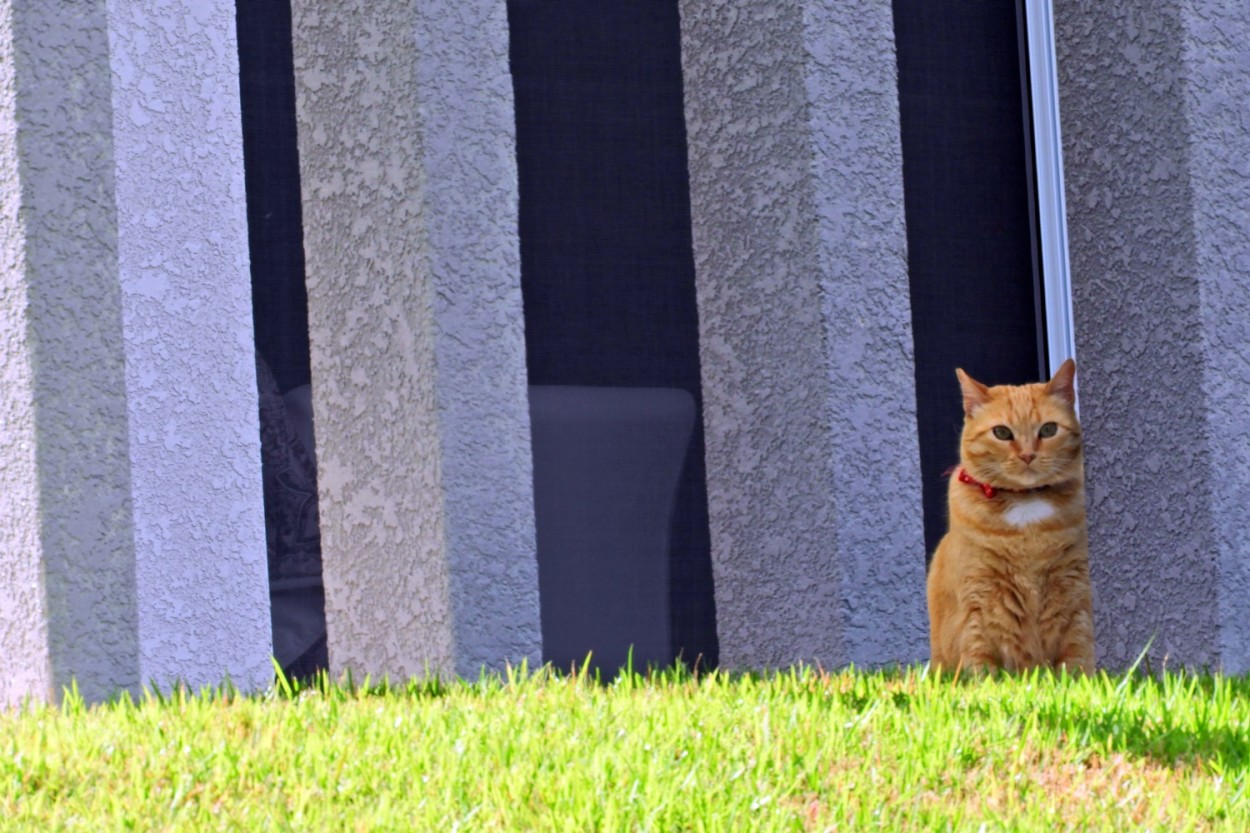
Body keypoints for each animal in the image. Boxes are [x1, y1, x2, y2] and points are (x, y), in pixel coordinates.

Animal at [930, 357, 1095, 675]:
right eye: (1002, 433)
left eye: (1048, 430)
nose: (1028, 455)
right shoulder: (977, 604)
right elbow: (982, 669)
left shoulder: (1076, 597)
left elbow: (1077, 664)